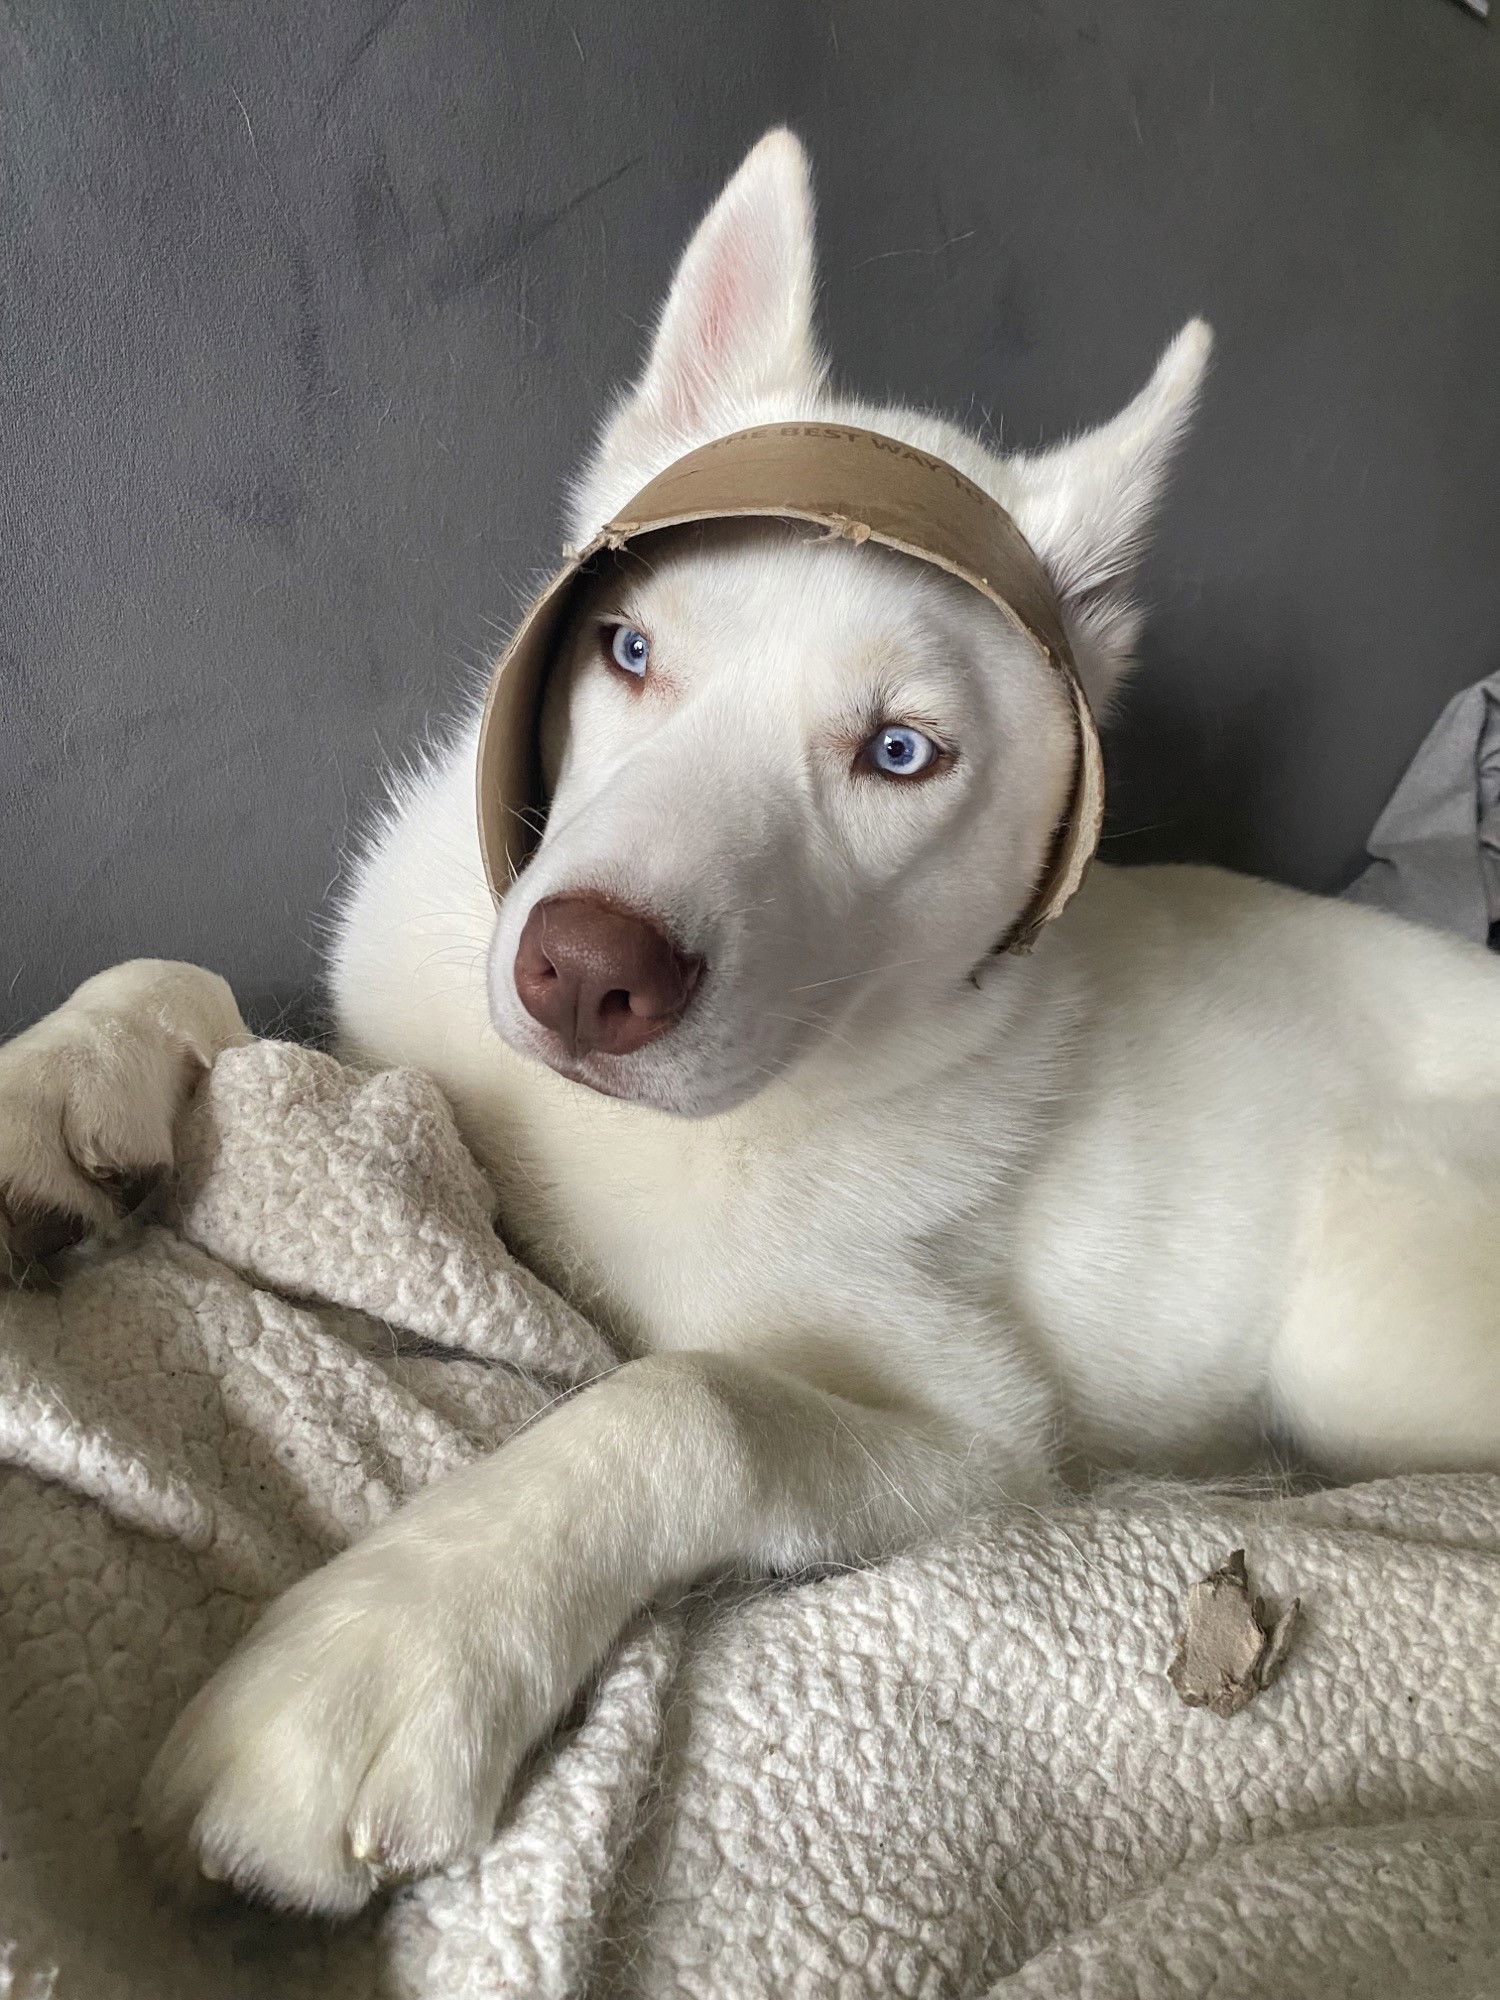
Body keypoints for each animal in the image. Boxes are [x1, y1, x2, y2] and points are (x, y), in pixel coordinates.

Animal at [2, 133, 1500, 1912]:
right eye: (631, 651)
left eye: (902, 754)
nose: (581, 972)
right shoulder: (406, 1043)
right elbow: (211, 991)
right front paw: (58, 1084)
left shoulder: (982, 1445)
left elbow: (690, 1400)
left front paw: (387, 1645)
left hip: (1360, 1327)